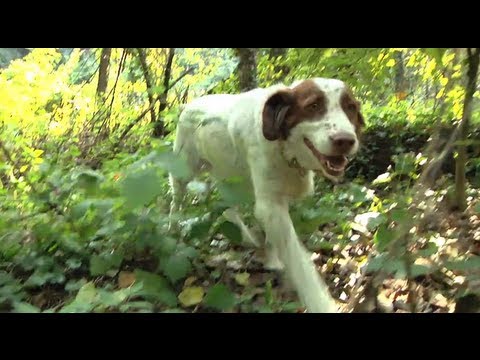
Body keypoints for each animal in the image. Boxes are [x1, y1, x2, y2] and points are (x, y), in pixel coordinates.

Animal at [169, 76, 364, 312]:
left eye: (351, 108)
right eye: (313, 106)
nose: (345, 140)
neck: (284, 147)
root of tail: (189, 104)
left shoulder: (274, 201)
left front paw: (271, 259)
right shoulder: (270, 205)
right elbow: (299, 261)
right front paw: (319, 302)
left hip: (231, 179)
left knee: (228, 208)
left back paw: (246, 236)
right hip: (183, 170)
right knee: (176, 202)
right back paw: (172, 232)